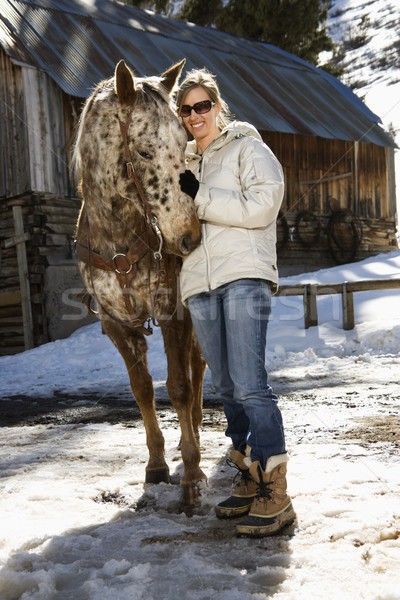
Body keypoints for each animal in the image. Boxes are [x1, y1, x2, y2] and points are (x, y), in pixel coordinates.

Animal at [72, 59, 206, 506]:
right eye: (144, 151)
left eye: (185, 140)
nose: (189, 237)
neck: (118, 237)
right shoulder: (115, 323)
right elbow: (142, 389)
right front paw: (157, 464)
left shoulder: (173, 312)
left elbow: (179, 386)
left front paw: (191, 474)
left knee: (198, 367)